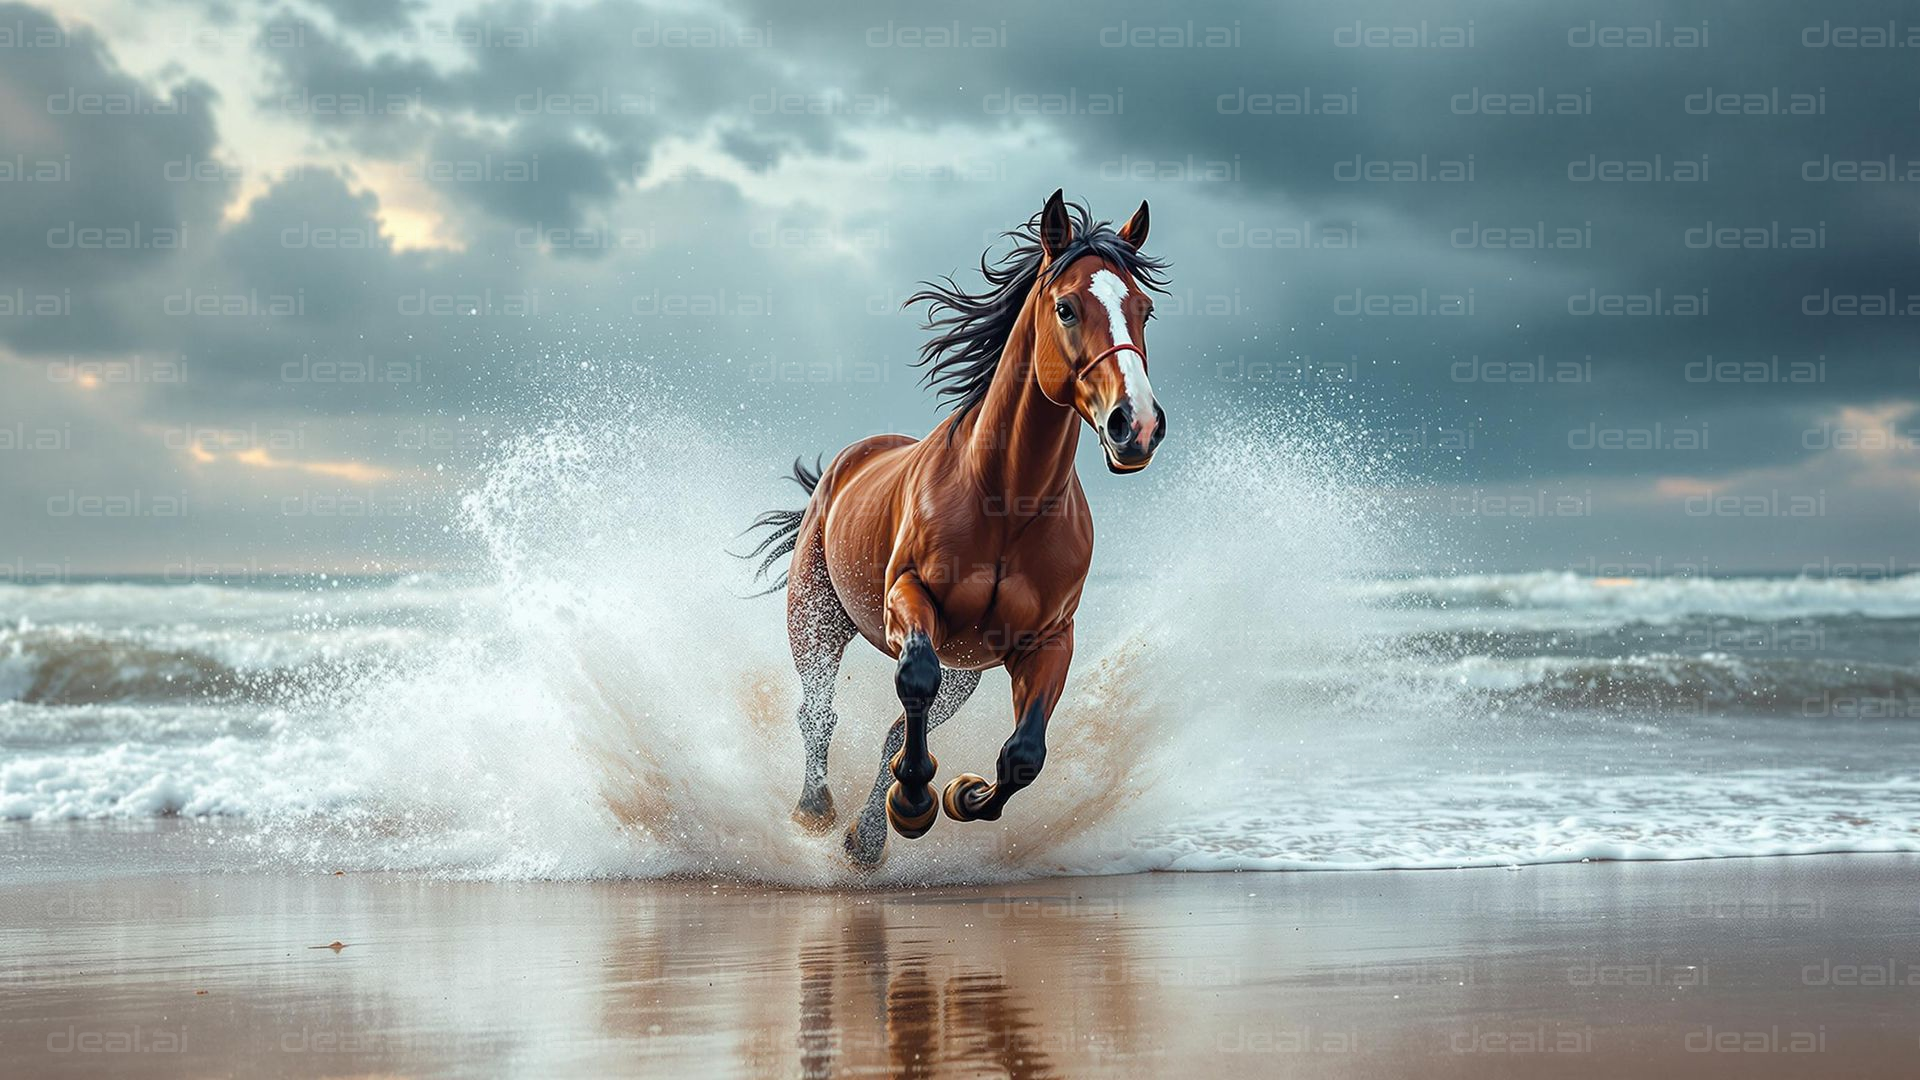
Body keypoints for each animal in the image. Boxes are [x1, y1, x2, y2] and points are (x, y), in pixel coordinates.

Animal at [743, 190, 1169, 867]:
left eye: (1144, 310)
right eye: (1067, 307)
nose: (1139, 426)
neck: (1006, 504)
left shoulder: (1049, 639)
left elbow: (1024, 754)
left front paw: (959, 797)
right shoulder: (908, 599)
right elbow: (913, 678)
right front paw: (915, 802)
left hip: (965, 669)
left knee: (896, 723)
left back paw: (868, 838)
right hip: (816, 619)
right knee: (819, 711)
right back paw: (818, 811)